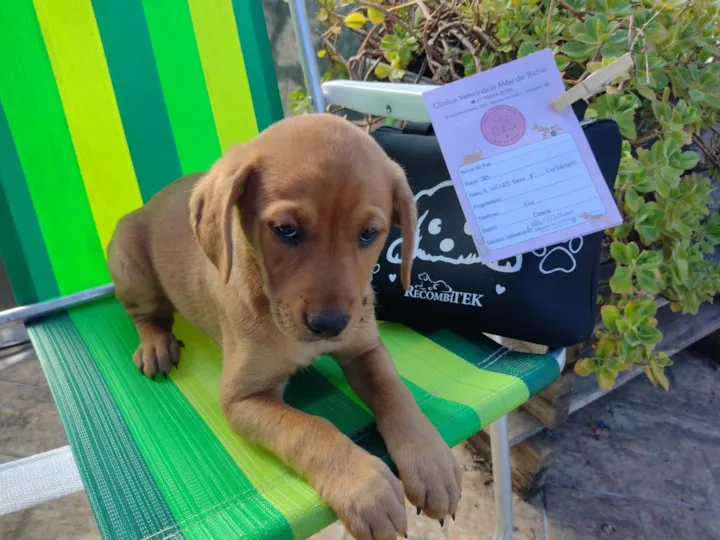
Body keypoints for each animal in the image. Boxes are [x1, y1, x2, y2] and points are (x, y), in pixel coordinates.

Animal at [107, 114, 461, 539]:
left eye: (368, 234)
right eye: (286, 229)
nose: (330, 325)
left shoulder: (364, 348)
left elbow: (395, 392)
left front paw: (430, 460)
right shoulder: (243, 398)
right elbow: (309, 428)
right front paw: (364, 486)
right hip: (129, 264)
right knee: (146, 314)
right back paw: (156, 344)